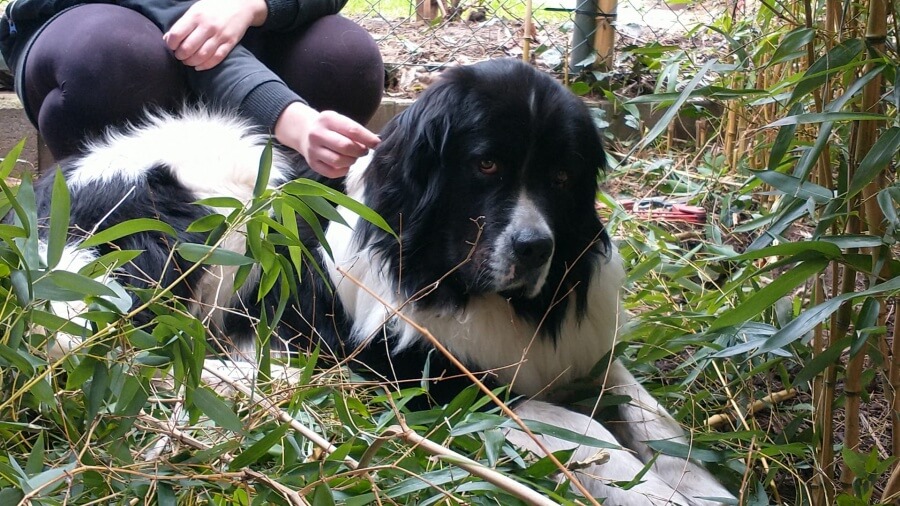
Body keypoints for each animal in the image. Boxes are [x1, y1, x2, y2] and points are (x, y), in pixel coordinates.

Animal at [31, 58, 736, 502]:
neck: (458, 283)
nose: (536, 248)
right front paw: (645, 489)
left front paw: (694, 484)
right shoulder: (424, 380)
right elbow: (574, 426)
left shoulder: (583, 350)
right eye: (485, 165)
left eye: (562, 177)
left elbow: (651, 413)